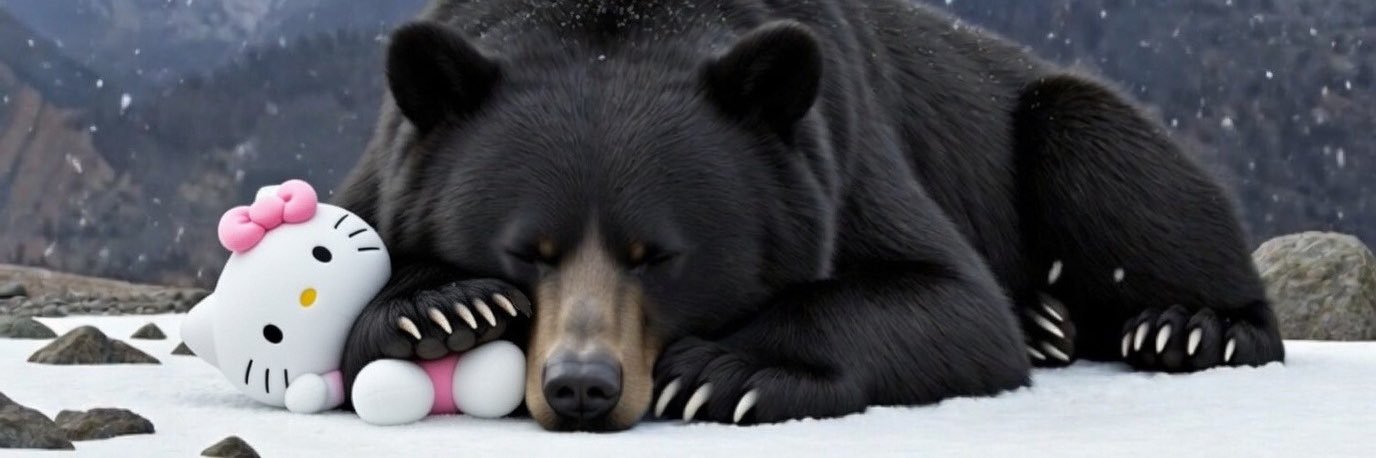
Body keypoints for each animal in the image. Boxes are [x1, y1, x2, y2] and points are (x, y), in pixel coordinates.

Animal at [332, 0, 1285, 431]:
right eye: (526, 249)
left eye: (658, 254)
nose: (581, 387)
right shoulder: (393, 157)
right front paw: (443, 305)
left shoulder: (842, 149)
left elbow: (944, 300)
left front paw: (725, 369)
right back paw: (1050, 322)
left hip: (1047, 117)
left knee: (1105, 153)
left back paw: (1187, 327)